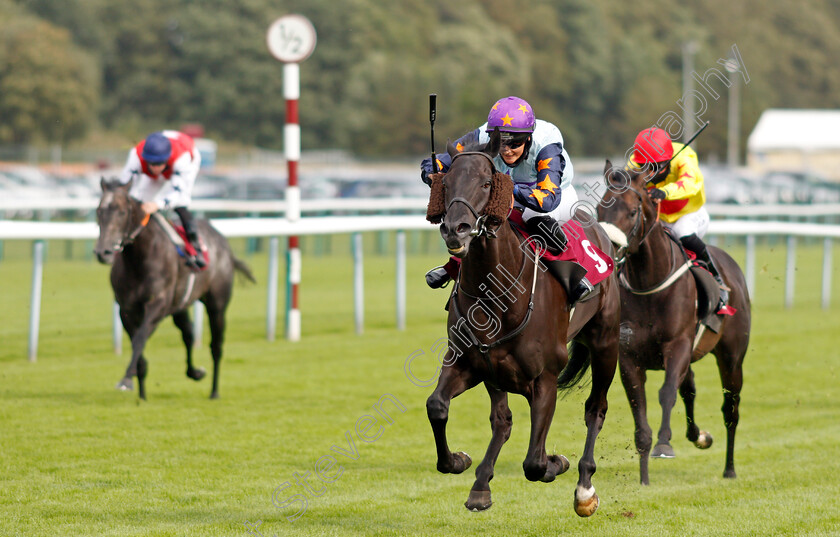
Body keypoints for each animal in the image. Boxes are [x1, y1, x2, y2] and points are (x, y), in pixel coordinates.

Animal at [93, 179, 254, 398]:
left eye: (122, 212)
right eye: (99, 211)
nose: (103, 252)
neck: (139, 260)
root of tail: (224, 243)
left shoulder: (158, 304)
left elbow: (140, 338)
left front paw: (127, 378)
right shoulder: (126, 309)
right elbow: (138, 341)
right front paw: (140, 392)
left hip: (217, 305)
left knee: (216, 346)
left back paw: (214, 391)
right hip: (180, 306)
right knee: (188, 334)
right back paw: (194, 372)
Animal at [426, 131, 624, 516]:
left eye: (487, 183)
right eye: (446, 182)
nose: (455, 230)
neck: (496, 294)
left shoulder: (544, 378)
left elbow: (533, 462)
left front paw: (555, 463)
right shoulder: (468, 364)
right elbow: (437, 406)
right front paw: (457, 460)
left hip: (605, 344)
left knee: (596, 409)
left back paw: (585, 489)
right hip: (495, 374)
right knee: (502, 422)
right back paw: (480, 486)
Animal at [600, 161, 752, 484]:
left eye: (632, 211)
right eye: (599, 207)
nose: (609, 248)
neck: (649, 284)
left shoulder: (678, 345)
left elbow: (666, 392)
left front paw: (664, 445)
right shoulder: (629, 357)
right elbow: (640, 408)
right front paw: (644, 477)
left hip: (731, 358)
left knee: (730, 409)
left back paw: (729, 468)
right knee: (690, 387)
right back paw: (699, 436)